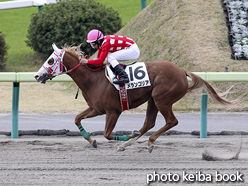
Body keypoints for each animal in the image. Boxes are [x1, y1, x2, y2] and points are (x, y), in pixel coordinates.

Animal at [35, 44, 234, 153]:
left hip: (162, 99)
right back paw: (129, 143)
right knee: (149, 123)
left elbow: (107, 134)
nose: (37, 76)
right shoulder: (96, 109)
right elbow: (77, 119)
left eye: (51, 60)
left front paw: (124, 135)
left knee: (171, 121)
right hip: (153, 100)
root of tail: (181, 70)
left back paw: (148, 141)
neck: (93, 79)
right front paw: (92, 141)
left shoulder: (113, 111)